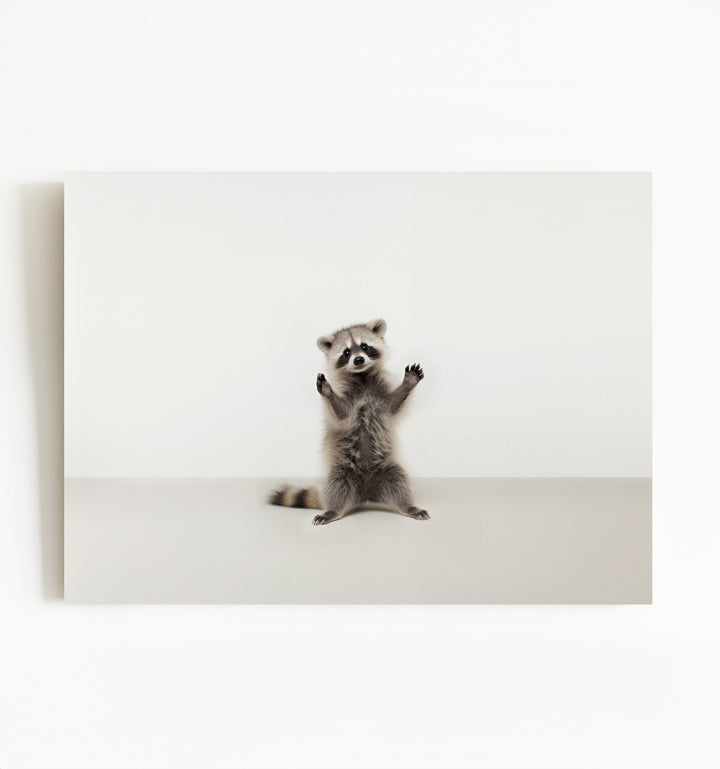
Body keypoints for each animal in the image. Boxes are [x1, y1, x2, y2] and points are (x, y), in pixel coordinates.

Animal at [269, 318, 429, 525]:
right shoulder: (347, 397)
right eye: (346, 352)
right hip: (342, 470)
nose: (358, 359)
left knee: (399, 480)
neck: (362, 376)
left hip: (387, 468)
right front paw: (328, 393)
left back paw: (408, 506)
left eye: (364, 346)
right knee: (336, 486)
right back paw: (333, 510)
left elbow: (393, 406)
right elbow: (342, 415)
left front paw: (407, 384)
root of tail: (366, 494)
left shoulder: (380, 393)